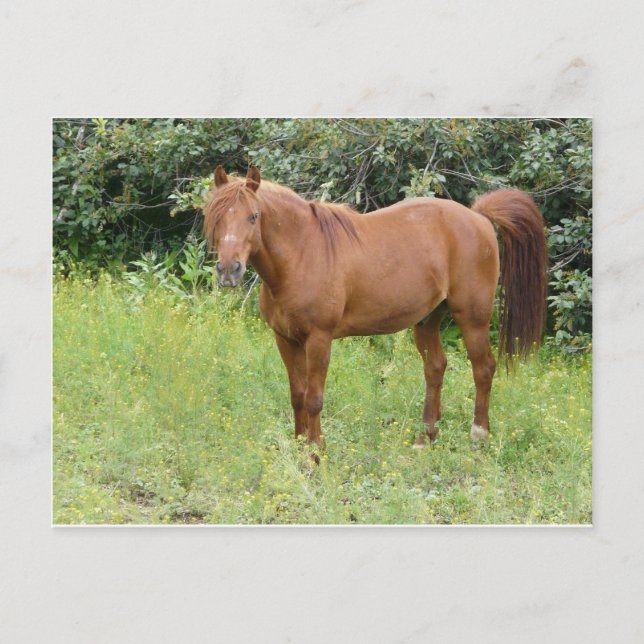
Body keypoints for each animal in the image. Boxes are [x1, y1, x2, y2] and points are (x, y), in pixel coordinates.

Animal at [203, 166, 548, 456]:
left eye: (253, 216)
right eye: (216, 216)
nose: (229, 270)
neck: (301, 254)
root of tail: (478, 217)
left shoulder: (319, 340)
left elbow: (314, 399)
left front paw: (316, 455)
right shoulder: (285, 340)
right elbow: (297, 396)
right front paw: (301, 447)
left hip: (472, 317)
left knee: (483, 368)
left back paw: (478, 437)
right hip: (428, 319)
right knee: (435, 368)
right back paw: (425, 439)